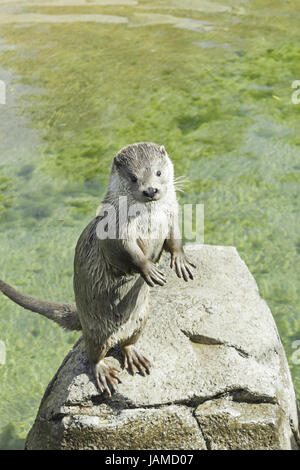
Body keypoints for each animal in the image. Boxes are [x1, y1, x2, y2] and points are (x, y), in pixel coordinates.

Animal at [0, 141, 195, 394]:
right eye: (133, 177)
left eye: (158, 172)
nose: (150, 190)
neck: (148, 220)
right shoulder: (116, 230)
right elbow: (129, 252)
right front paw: (149, 269)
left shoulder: (171, 215)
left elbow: (175, 238)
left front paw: (180, 260)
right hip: (97, 331)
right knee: (93, 355)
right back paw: (104, 373)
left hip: (142, 318)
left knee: (127, 343)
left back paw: (135, 357)